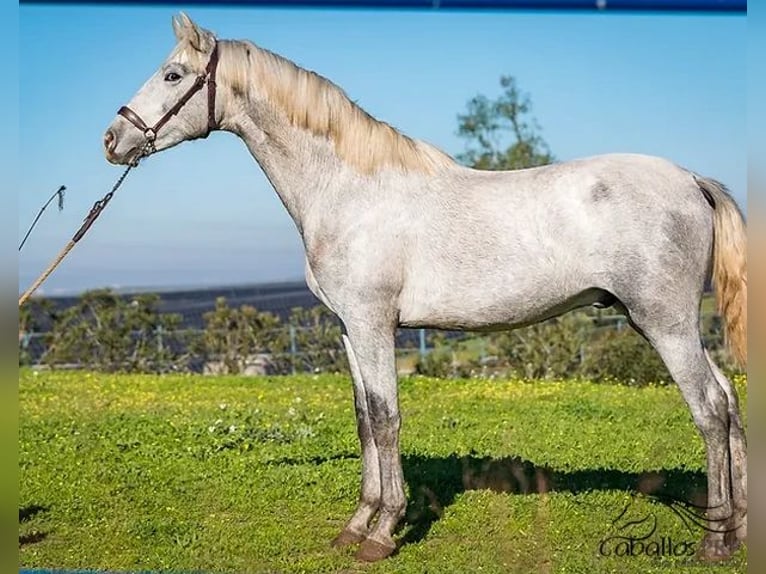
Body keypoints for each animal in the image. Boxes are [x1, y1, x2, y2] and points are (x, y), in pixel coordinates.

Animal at [103, 11, 752, 564]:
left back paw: (714, 541)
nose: (112, 140)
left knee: (710, 408)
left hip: (664, 322)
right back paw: (740, 529)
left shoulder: (374, 324)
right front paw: (355, 526)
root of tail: (692, 180)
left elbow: (387, 417)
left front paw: (383, 532)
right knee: (730, 402)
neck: (348, 188)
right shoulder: (349, 330)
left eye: (173, 75)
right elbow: (365, 419)